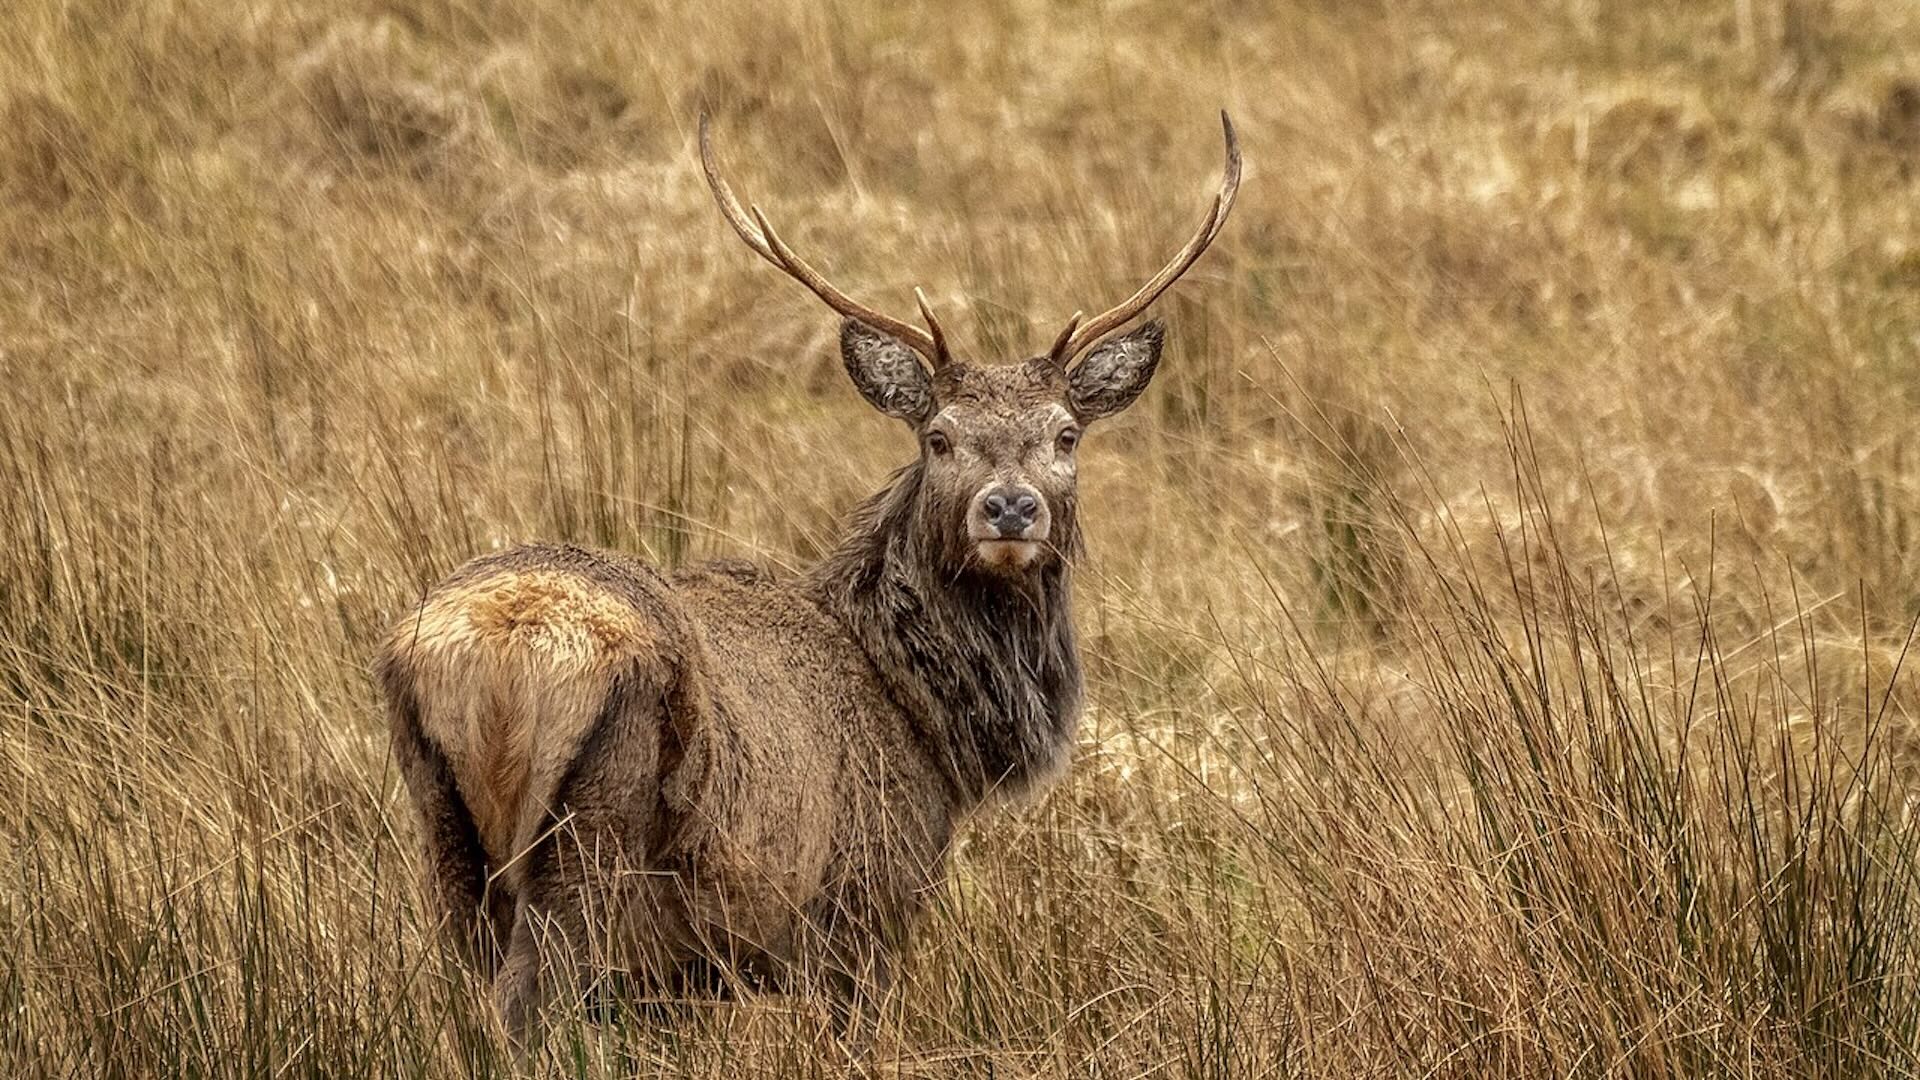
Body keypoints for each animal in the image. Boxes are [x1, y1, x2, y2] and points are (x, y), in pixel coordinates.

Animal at [382, 109, 1236, 1037]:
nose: (1010, 509)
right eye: (939, 436)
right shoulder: (859, 907)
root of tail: (496, 653)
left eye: (1065, 435)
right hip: (592, 839)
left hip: (446, 838)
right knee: (525, 1006)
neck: (930, 731)